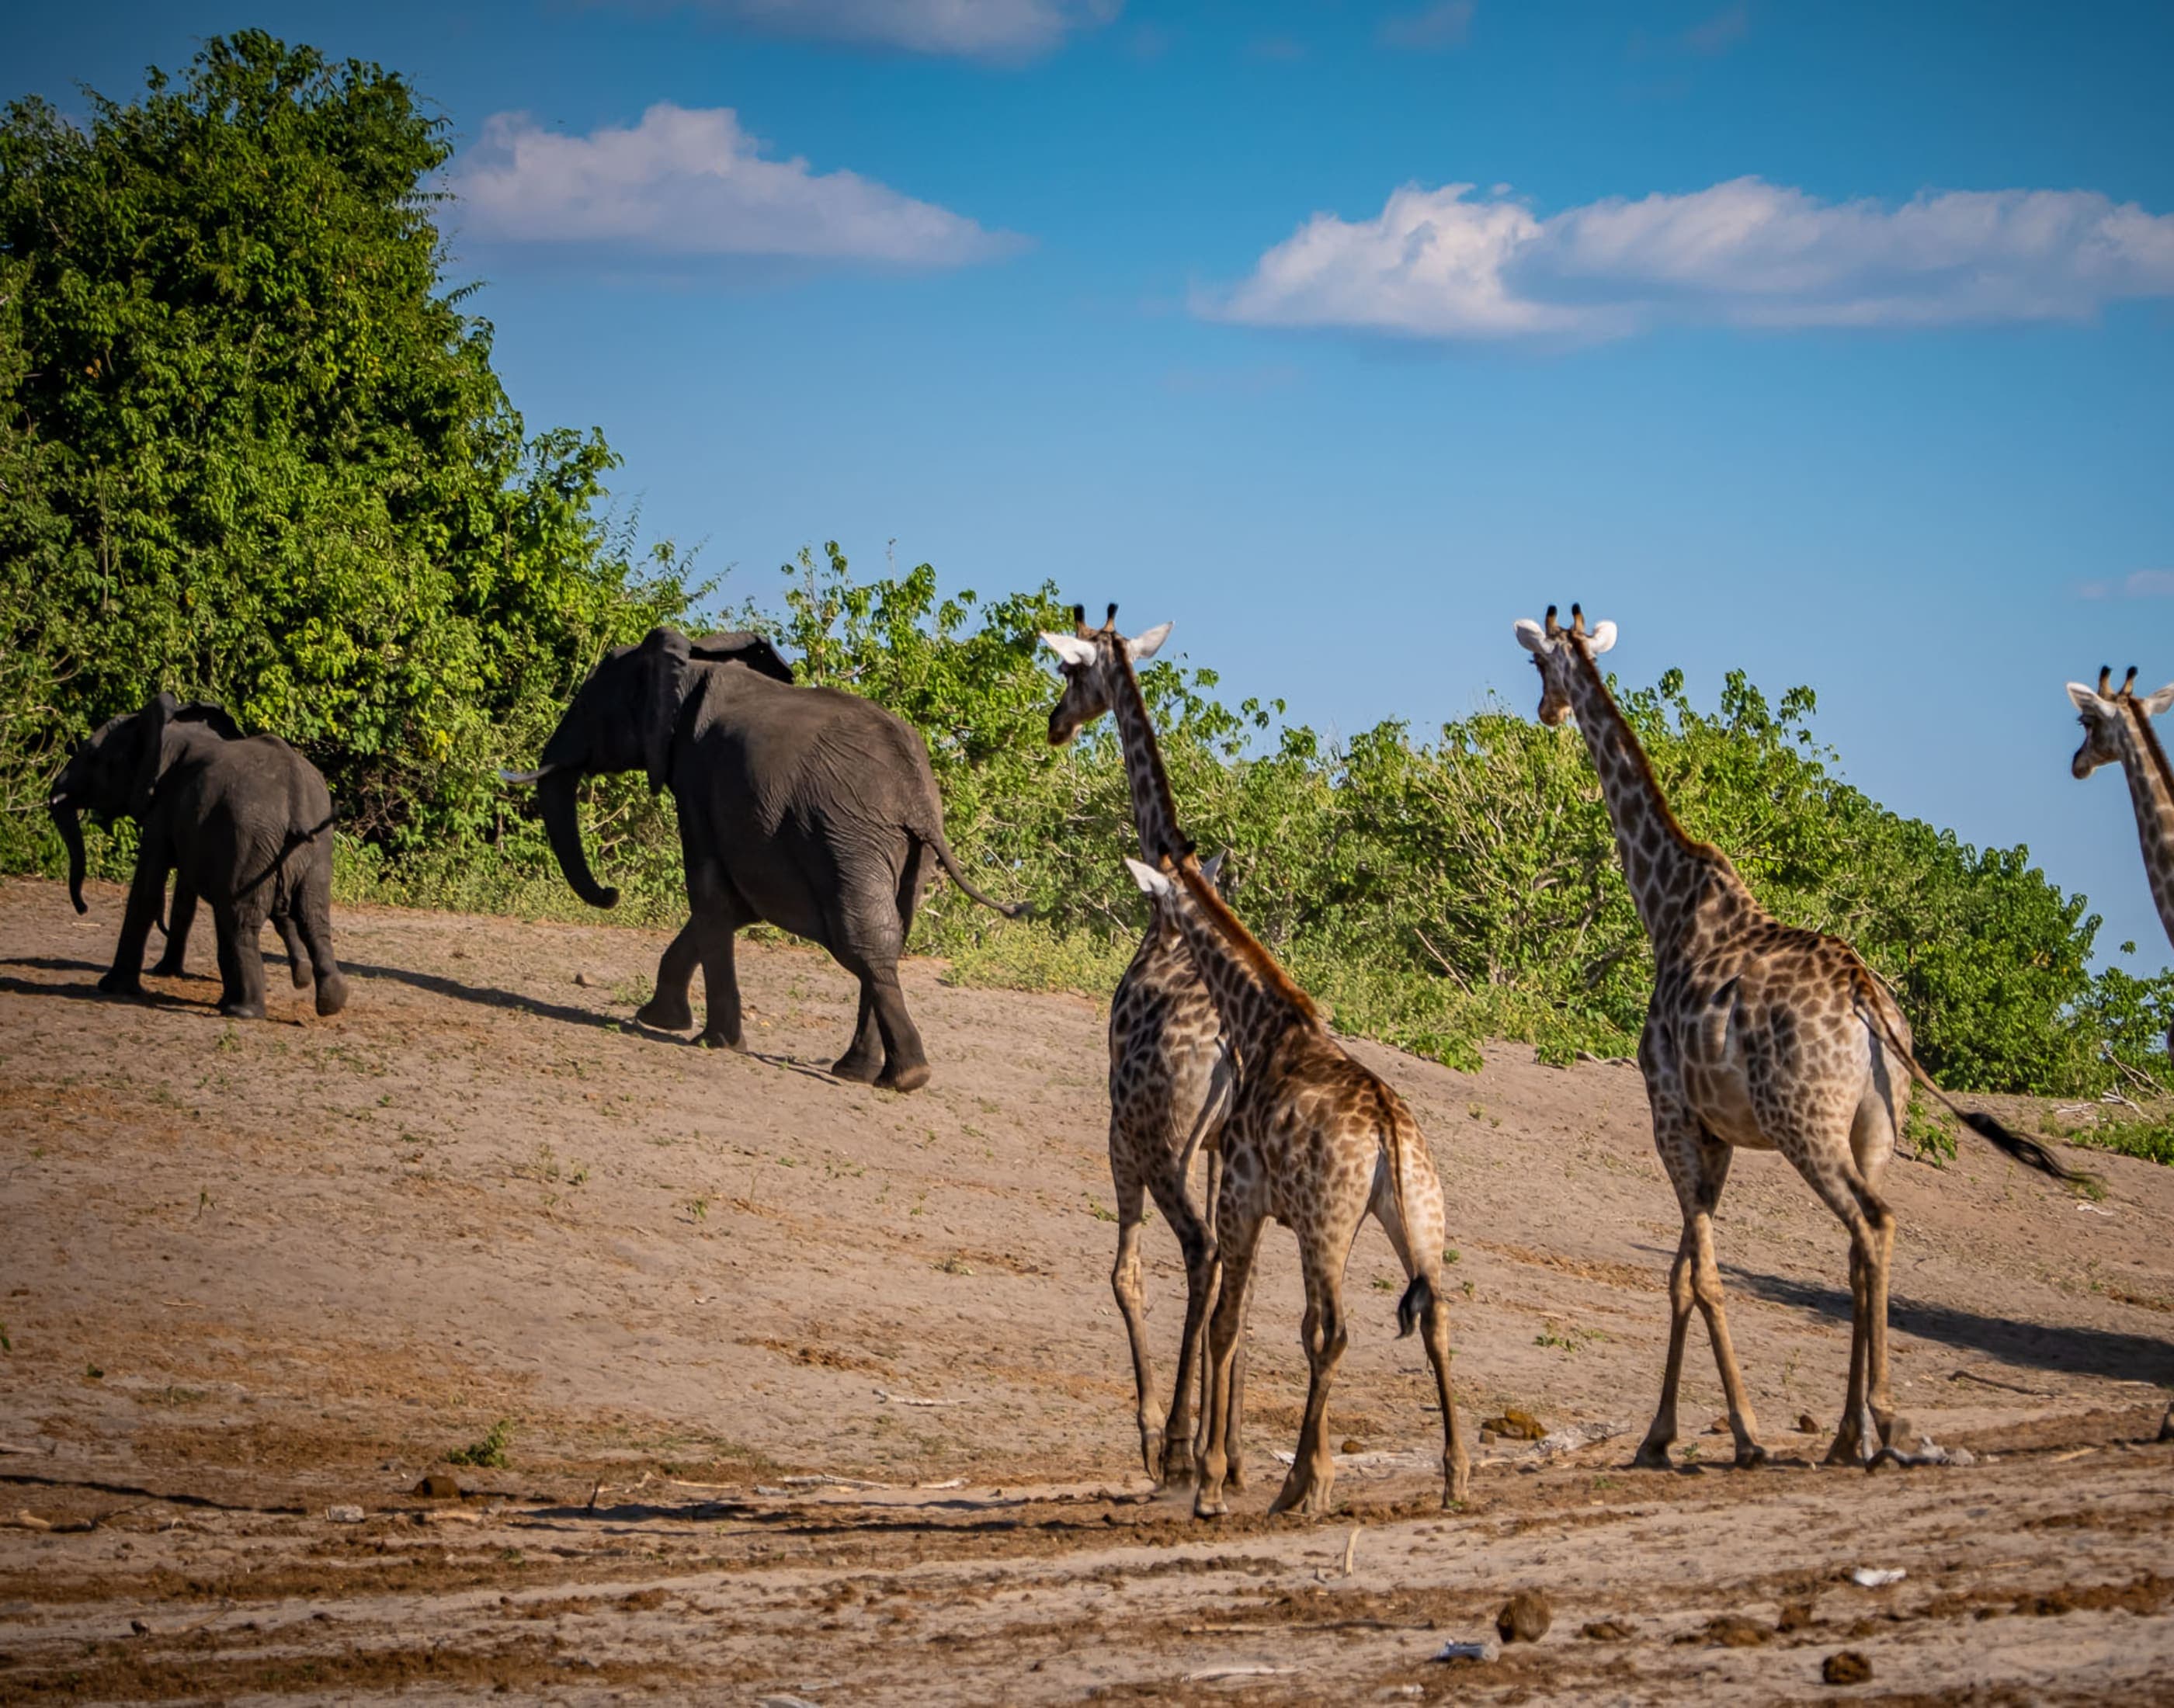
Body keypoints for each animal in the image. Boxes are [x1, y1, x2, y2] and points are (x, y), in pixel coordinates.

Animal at [48, 693, 348, 1019]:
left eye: (91, 755)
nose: (83, 908)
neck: (170, 729)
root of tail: (296, 801)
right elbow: (184, 898)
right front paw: (166, 972)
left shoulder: (163, 807)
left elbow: (148, 889)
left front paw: (112, 987)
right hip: (315, 852)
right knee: (313, 916)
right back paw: (329, 1001)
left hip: (252, 841)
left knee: (240, 920)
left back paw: (241, 1011)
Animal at [508, 628, 1021, 1092]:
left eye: (586, 709)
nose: (612, 894)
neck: (693, 660)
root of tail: (915, 793)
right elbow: (737, 907)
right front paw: (658, 1019)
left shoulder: (696, 777)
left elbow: (710, 893)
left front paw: (712, 1042)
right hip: (906, 848)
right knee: (890, 933)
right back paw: (863, 1073)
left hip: (846, 833)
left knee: (861, 940)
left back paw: (901, 1078)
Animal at [1123, 850, 1466, 1519]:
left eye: (1158, 901)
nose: (1155, 952)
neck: (1263, 1026)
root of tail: (1389, 1130)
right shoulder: (1278, 1214)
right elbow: (1273, 1326)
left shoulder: (1242, 1200)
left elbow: (1226, 1324)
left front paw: (1211, 1484)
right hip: (1416, 1214)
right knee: (1434, 1318)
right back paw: (1455, 1477)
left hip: (1328, 1226)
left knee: (1334, 1332)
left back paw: (1301, 1487)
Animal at [1515, 605, 2085, 1470]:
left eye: (1538, 664)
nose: (1546, 711)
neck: (1664, 908)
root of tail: (1866, 1000)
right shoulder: (1714, 1134)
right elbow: (1681, 1274)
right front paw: (1661, 1434)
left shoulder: (1669, 1115)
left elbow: (1702, 1277)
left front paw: (1738, 1435)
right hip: (1875, 1125)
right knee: (1864, 1243)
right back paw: (1850, 1432)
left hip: (1802, 1121)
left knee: (1869, 1223)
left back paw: (1885, 1422)